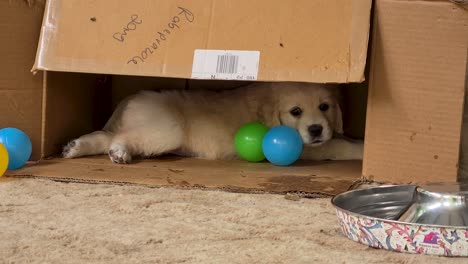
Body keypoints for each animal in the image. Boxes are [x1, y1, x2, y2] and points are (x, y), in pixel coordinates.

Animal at [63, 82, 362, 163]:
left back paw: (74, 147)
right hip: (167, 130)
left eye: (325, 107)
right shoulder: (308, 147)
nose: (316, 129)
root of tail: (131, 98)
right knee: (116, 138)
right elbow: (338, 146)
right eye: (296, 111)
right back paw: (119, 152)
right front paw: (360, 149)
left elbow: (341, 137)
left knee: (104, 136)